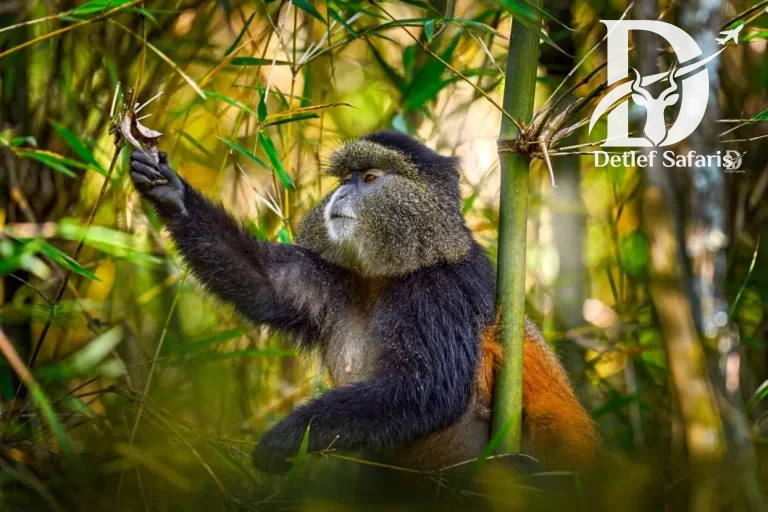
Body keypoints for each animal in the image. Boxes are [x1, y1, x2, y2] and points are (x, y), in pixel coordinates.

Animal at [129, 130, 599, 474]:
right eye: (344, 180)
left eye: (370, 179)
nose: (339, 195)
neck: (389, 277)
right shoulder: (336, 280)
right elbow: (266, 282)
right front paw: (170, 192)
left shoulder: (443, 291)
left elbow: (426, 389)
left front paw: (283, 441)